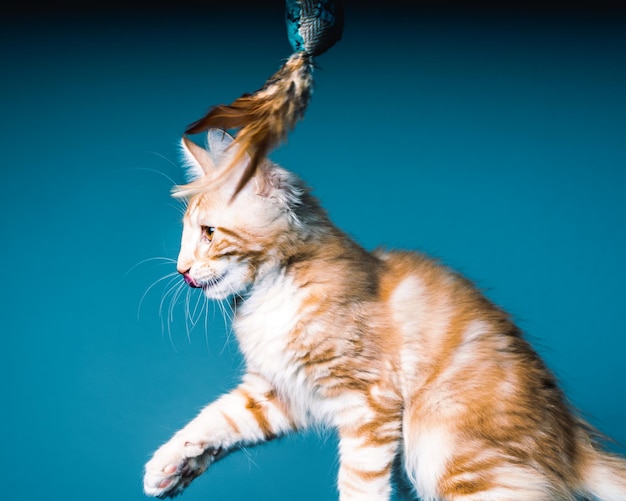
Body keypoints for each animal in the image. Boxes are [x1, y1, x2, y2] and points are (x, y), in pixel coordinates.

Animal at [143, 130, 624, 500]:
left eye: (208, 233)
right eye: (188, 235)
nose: (181, 270)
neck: (269, 296)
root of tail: (572, 445)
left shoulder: (368, 402)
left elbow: (358, 484)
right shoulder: (278, 390)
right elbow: (217, 418)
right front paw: (170, 464)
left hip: (452, 454)